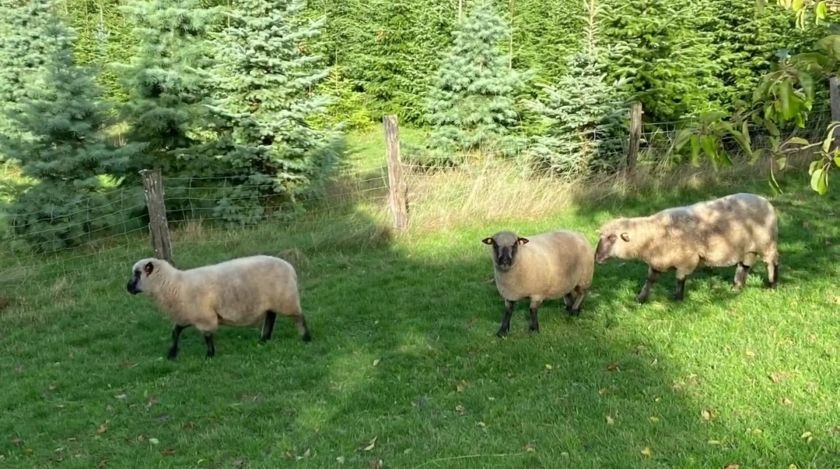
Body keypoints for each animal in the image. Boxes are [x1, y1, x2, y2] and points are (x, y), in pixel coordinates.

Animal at [123, 252, 310, 358]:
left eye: (137, 273)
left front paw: (210, 355)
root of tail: (290, 267)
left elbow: (207, 336)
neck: (174, 284)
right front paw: (172, 353)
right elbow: (175, 332)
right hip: (272, 301)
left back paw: (306, 337)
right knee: (271, 316)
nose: (128, 288)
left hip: (286, 298)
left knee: (299, 317)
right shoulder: (187, 314)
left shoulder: (204, 316)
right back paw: (264, 339)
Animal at [592, 191, 776, 304]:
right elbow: (650, 280)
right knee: (744, 265)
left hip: (767, 243)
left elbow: (680, 280)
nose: (597, 258)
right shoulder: (658, 261)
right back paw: (737, 287)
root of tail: (765, 201)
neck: (654, 234)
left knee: (771, 263)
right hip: (749, 248)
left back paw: (772, 285)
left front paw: (677, 299)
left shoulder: (686, 260)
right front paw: (641, 298)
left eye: (612, 238)